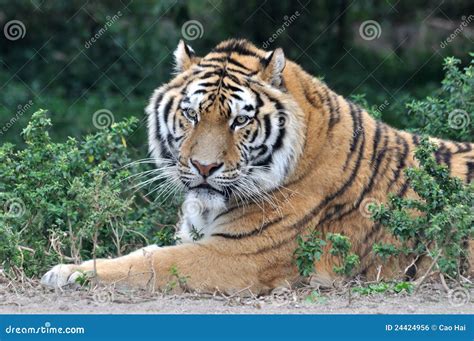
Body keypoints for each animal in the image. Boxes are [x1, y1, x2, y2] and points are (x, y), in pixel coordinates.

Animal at [41, 37, 474, 292]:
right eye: (191, 114)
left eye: (239, 120)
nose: (204, 167)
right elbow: (146, 251)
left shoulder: (237, 257)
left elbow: (152, 263)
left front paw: (66, 273)